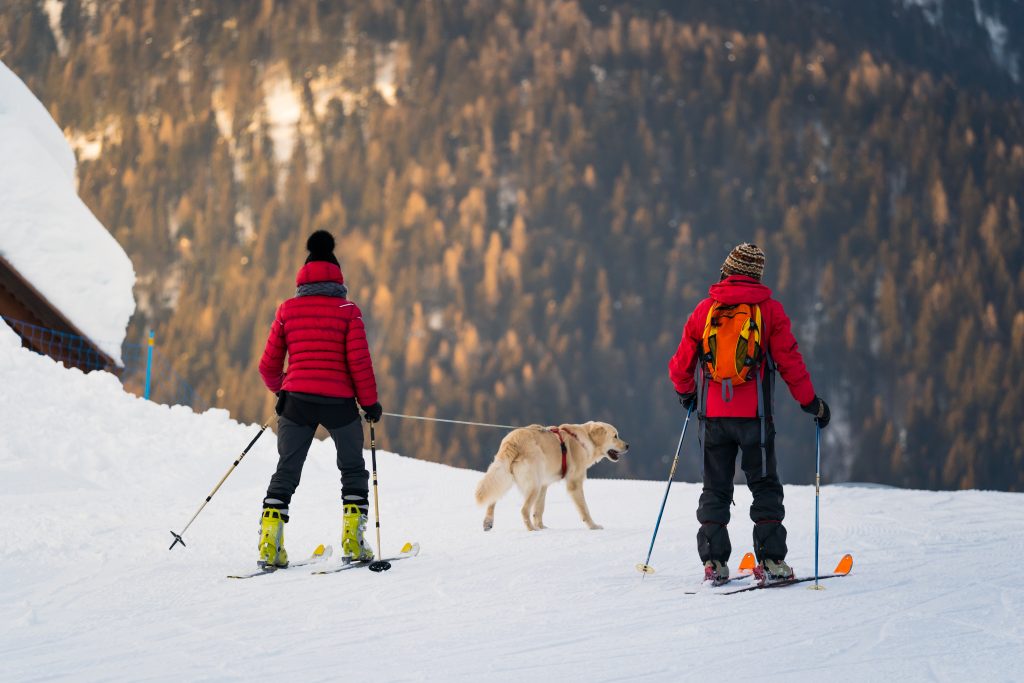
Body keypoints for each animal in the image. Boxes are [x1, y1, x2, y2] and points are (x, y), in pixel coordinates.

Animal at [475, 421, 626, 532]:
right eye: (615, 436)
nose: (628, 446)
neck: (583, 440)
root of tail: (513, 440)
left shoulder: (544, 485)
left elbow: (539, 509)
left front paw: (542, 526)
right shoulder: (574, 483)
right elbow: (584, 509)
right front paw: (593, 526)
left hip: (506, 474)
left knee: (493, 497)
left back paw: (488, 522)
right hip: (533, 484)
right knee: (524, 510)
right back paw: (532, 529)